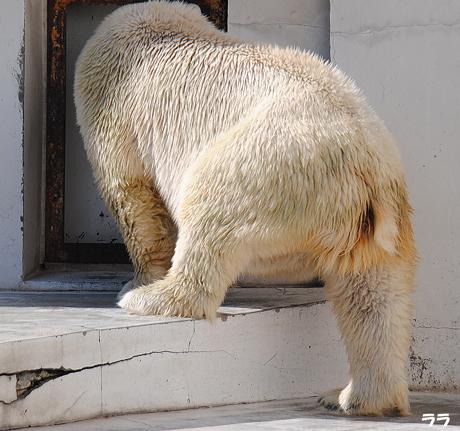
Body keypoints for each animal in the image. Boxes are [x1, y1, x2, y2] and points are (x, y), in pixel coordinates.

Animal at [74, 0, 416, 418]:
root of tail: (362, 166)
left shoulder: (114, 99)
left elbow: (131, 195)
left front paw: (137, 280)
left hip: (264, 164)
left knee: (208, 207)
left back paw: (152, 298)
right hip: (377, 220)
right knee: (373, 294)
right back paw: (353, 397)